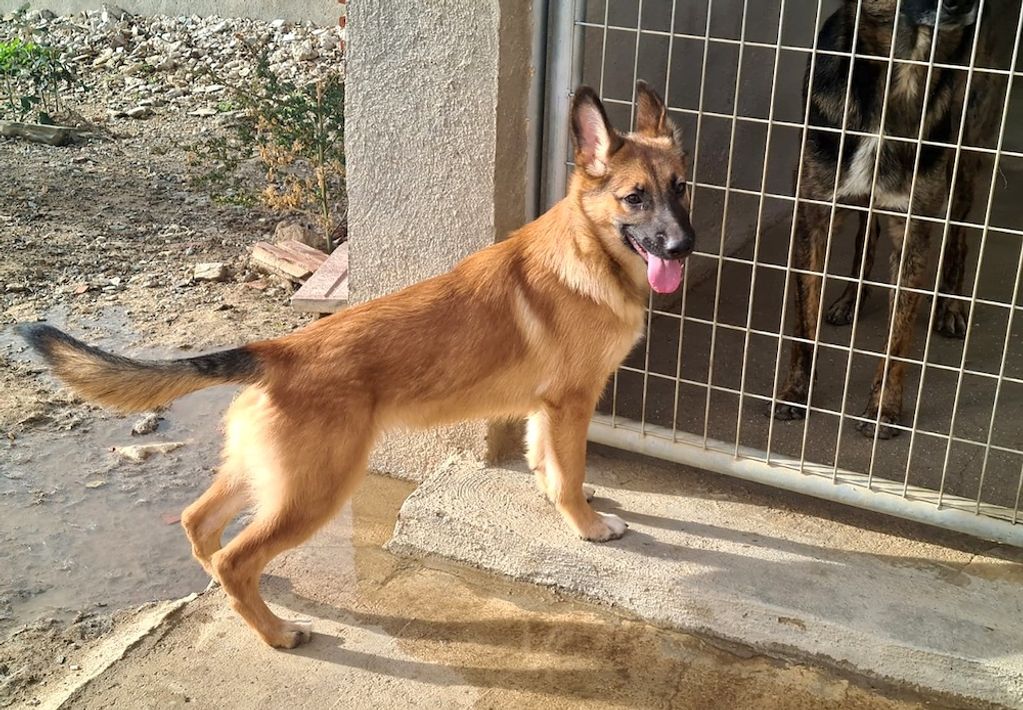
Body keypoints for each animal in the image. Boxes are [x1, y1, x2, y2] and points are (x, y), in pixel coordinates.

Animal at [18, 81, 694, 649]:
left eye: (681, 188)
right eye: (635, 198)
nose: (684, 247)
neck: (590, 249)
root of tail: (277, 351)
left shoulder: (545, 409)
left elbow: (549, 462)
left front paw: (560, 493)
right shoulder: (571, 402)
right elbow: (568, 470)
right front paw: (587, 525)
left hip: (265, 477)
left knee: (199, 524)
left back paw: (239, 594)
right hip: (314, 492)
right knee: (238, 556)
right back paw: (277, 633)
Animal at [772, 0, 997, 438]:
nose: (965, 6)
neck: (902, 73)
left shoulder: (913, 231)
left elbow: (899, 335)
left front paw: (882, 409)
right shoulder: (813, 216)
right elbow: (803, 324)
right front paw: (796, 392)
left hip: (963, 164)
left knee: (959, 237)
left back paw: (950, 307)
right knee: (866, 235)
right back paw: (850, 301)